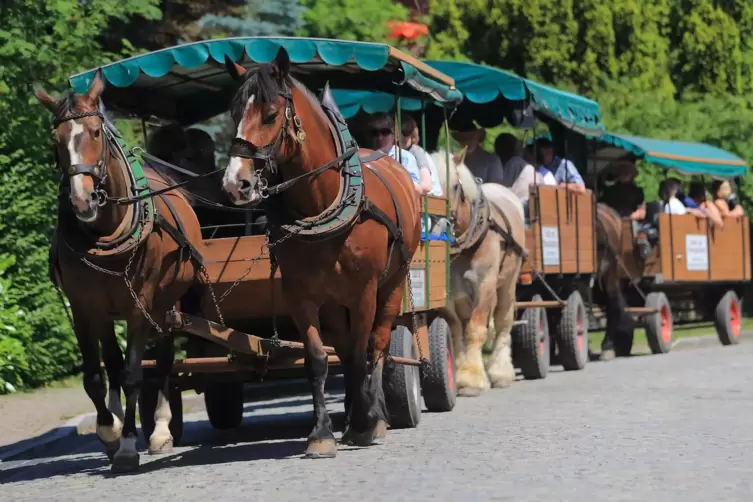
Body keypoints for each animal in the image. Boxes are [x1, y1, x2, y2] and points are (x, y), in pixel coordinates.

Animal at [35, 71, 204, 474]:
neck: (105, 232)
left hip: (166, 304)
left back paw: (160, 429)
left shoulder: (138, 305)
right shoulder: (85, 307)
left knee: (162, 362)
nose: (82, 201)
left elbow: (132, 374)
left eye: (96, 132)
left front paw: (128, 445)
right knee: (113, 365)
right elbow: (97, 376)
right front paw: (109, 433)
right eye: (56, 139)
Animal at [222, 51, 424, 458]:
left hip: (393, 284)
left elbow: (364, 352)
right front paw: (321, 433)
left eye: (270, 114)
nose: (236, 184)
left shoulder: (363, 292)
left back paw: (374, 414)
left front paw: (365, 422)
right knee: (344, 351)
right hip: (333, 301)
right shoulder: (300, 294)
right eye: (234, 113)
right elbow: (318, 358)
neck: (325, 203)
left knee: (378, 345)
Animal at [432, 150, 524, 396]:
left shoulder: (484, 285)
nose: (440, 224)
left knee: (503, 323)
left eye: (455, 186)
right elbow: (456, 330)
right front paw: (458, 373)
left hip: (507, 283)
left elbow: (475, 329)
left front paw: (471, 380)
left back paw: (500, 372)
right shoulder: (449, 293)